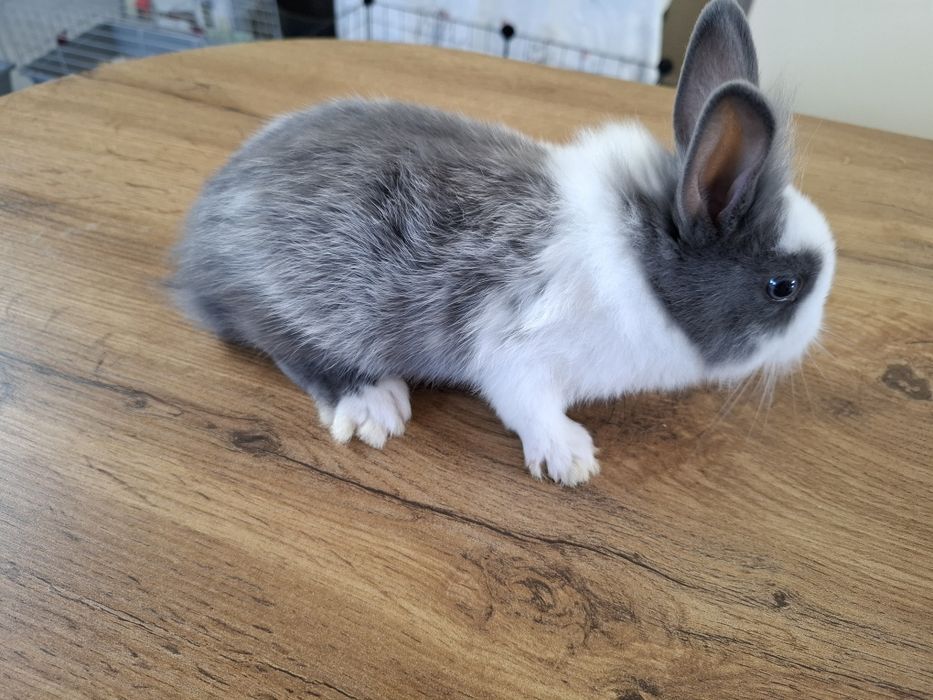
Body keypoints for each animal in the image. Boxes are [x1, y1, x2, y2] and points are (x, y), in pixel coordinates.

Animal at [172, 0, 836, 485]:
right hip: (294, 299)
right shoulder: (518, 355)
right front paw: (571, 459)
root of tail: (197, 247)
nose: (812, 336)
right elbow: (526, 404)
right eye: (783, 286)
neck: (642, 261)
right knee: (275, 337)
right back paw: (370, 403)